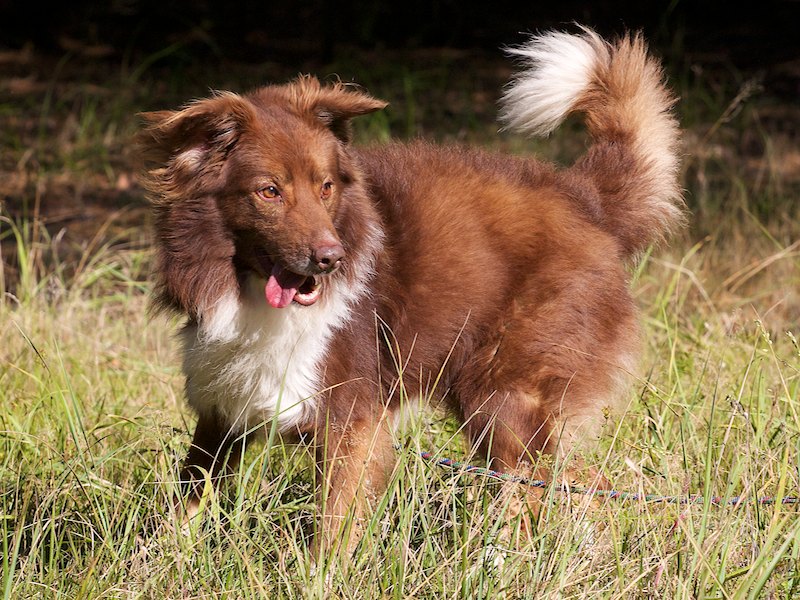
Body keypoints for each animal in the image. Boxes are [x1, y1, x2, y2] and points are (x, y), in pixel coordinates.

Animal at [137, 28, 683, 556]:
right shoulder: (224, 405)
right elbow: (188, 497)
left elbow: (332, 532)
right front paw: (156, 557)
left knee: (561, 486)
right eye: (269, 191)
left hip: (508, 395)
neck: (246, 287)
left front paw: (317, 575)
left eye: (326, 187)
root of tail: (585, 199)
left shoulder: (351, 418)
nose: (331, 259)